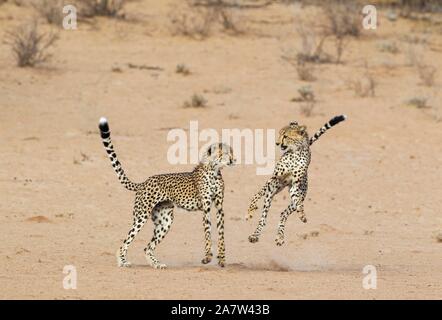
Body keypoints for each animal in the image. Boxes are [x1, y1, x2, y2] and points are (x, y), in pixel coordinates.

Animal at [96, 117, 235, 268]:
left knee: (147, 247)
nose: (234, 159)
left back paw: (156, 264)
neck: (214, 170)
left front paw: (222, 259)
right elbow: (208, 232)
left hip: (165, 221)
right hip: (141, 216)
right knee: (126, 242)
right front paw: (208, 257)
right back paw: (122, 261)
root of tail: (144, 182)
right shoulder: (206, 207)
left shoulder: (219, 208)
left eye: (232, 152)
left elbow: (221, 233)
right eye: (224, 154)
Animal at [247, 115, 348, 245]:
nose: (277, 143)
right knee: (262, 212)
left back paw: (280, 237)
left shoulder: (295, 186)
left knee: (283, 213)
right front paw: (251, 211)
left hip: (297, 197)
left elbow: (298, 203)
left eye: (285, 136)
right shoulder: (274, 179)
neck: (295, 151)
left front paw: (302, 215)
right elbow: (260, 195)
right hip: (272, 189)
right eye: (279, 134)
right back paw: (254, 230)